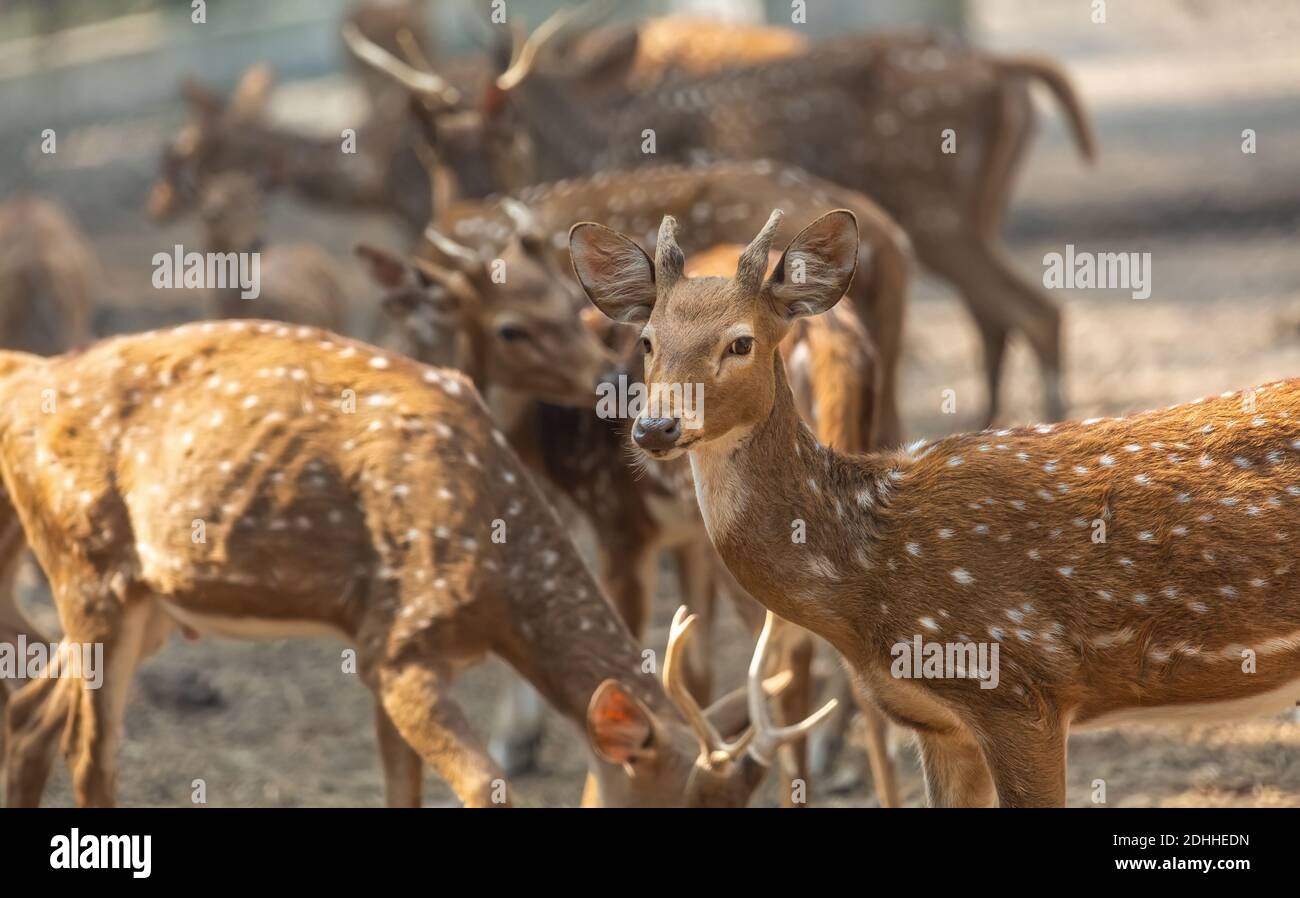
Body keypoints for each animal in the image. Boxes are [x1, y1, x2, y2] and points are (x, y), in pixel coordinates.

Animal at [0, 320, 832, 805]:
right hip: (88, 570)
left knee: (32, 711)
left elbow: (400, 783)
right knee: (88, 749)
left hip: (147, 606)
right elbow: (487, 787)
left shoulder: (385, 648)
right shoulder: (400, 645)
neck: (498, 592)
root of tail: (23, 378)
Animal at [574, 209, 1300, 805]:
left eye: (741, 341)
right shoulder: (936, 721)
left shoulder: (1018, 687)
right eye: (647, 341)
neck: (865, 583)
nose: (655, 428)